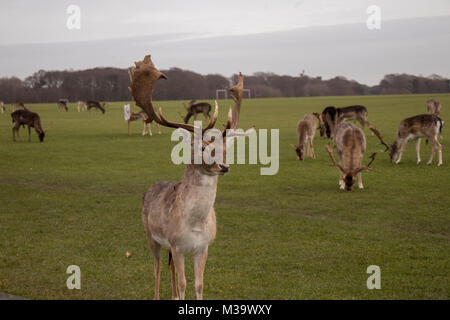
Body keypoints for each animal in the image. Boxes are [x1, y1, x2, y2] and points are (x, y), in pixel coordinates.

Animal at [129, 55, 253, 300]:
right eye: (202, 148)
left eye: (226, 149)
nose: (224, 166)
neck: (195, 225)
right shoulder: (177, 245)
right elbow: (184, 283)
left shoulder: (203, 247)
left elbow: (198, 284)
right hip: (150, 236)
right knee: (157, 267)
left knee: (168, 269)